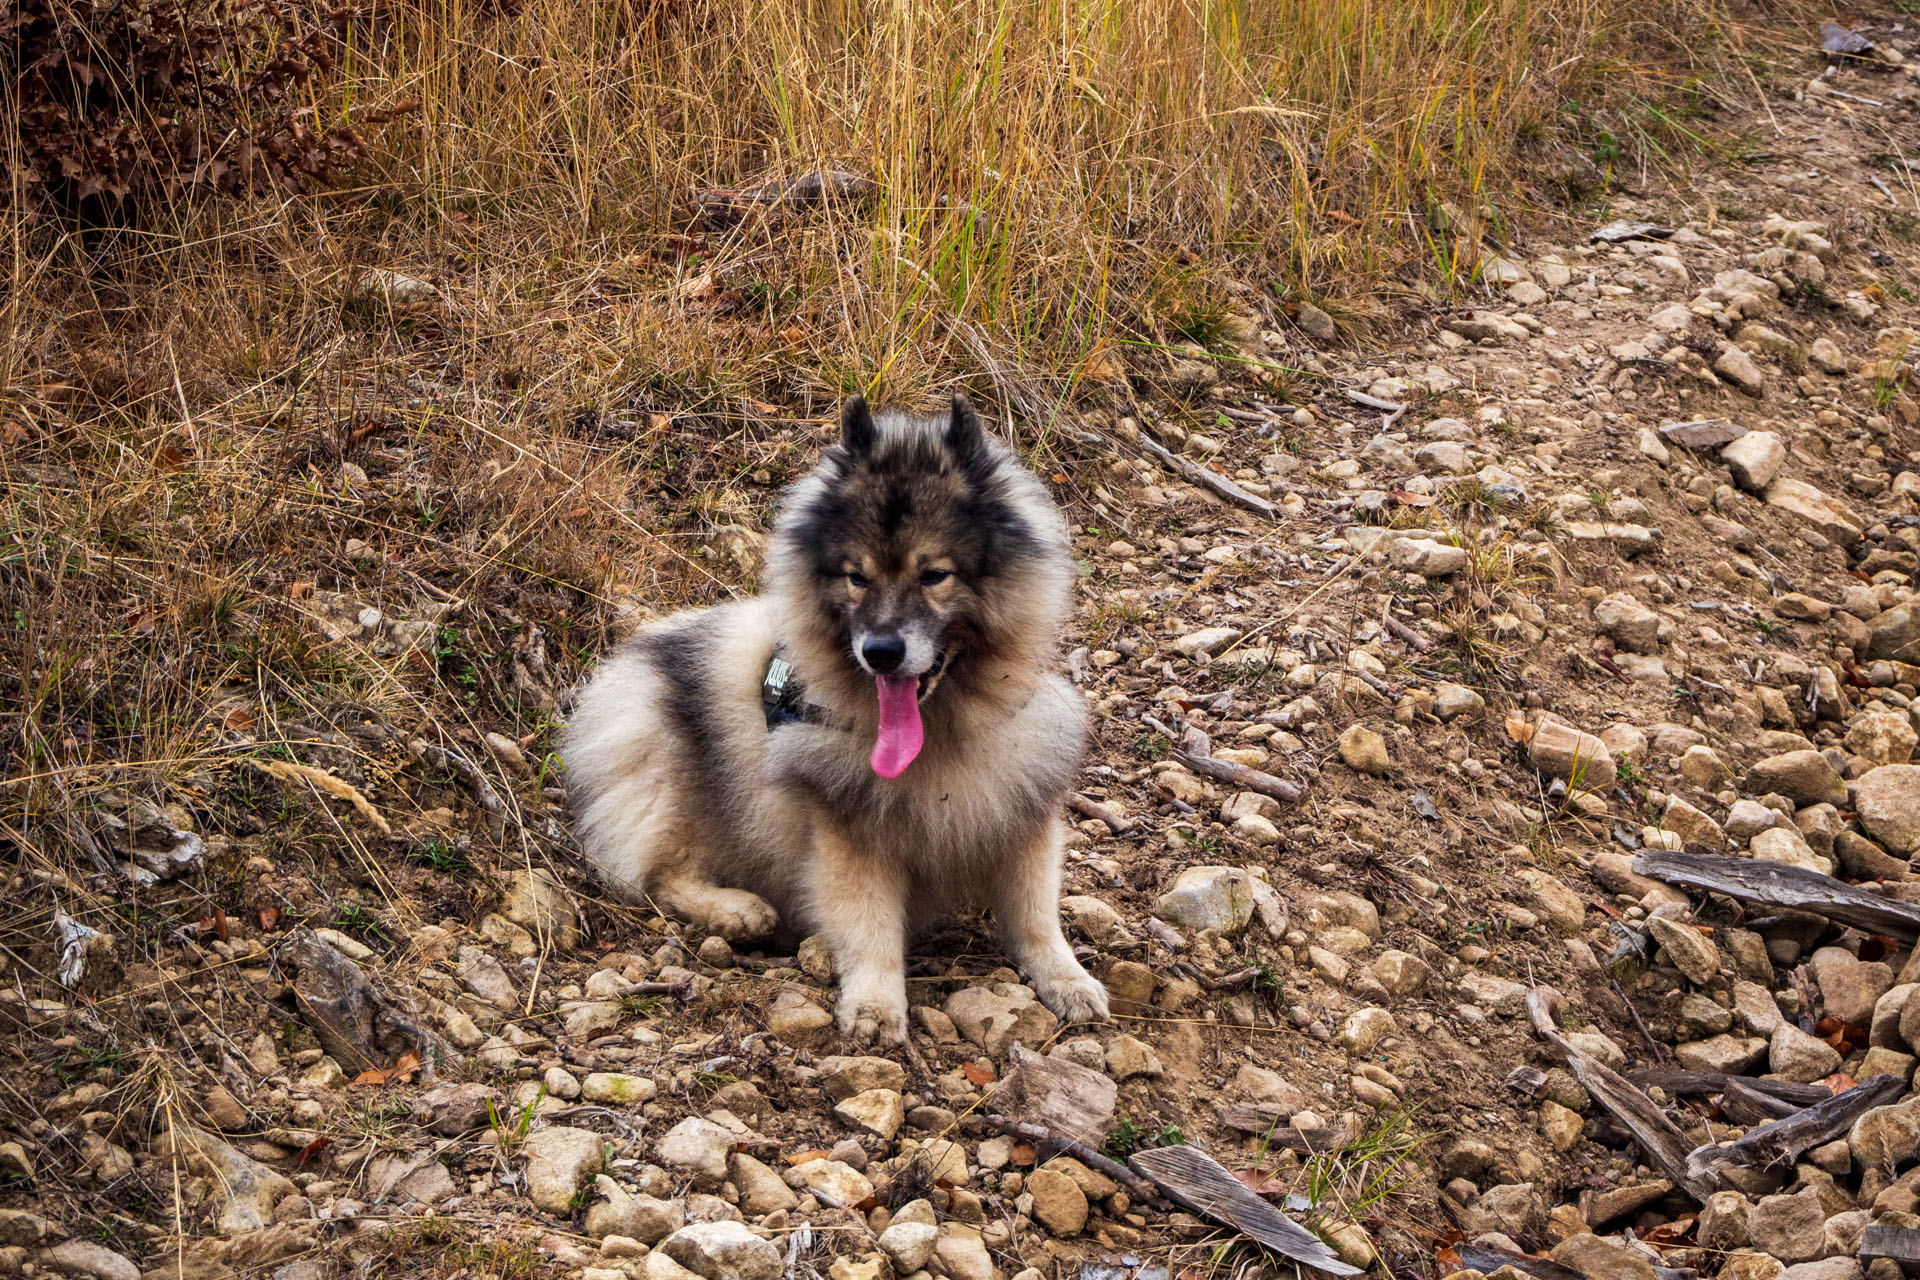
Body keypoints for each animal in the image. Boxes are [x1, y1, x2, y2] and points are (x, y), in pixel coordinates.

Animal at [560, 395, 1113, 1043]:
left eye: (934, 575)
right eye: (857, 576)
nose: (881, 652)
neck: (942, 731)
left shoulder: (1023, 806)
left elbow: (1036, 916)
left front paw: (1067, 979)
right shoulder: (850, 829)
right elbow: (869, 927)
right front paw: (875, 1006)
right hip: (668, 768)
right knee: (659, 875)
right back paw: (738, 909)